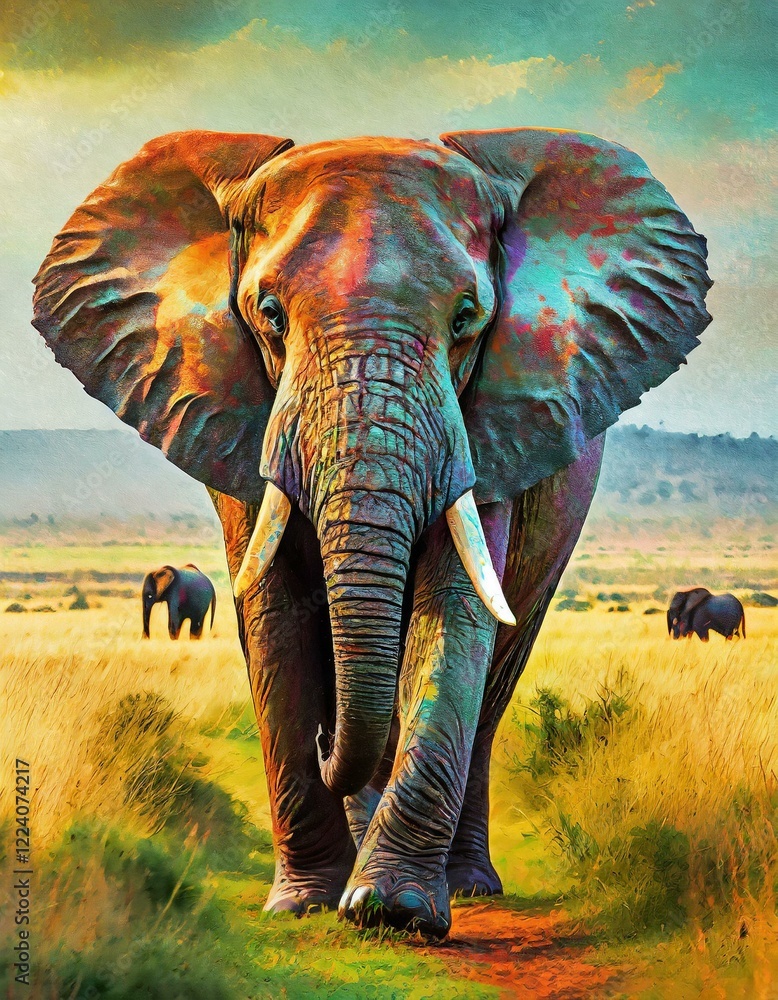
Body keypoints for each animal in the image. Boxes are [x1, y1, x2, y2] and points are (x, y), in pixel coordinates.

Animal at [32, 127, 711, 938]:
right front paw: (304, 904)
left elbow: (453, 612)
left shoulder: (487, 427)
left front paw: (394, 910)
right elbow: (275, 616)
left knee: (493, 686)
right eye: (269, 315)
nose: (330, 741)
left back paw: (468, 885)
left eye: (466, 319)